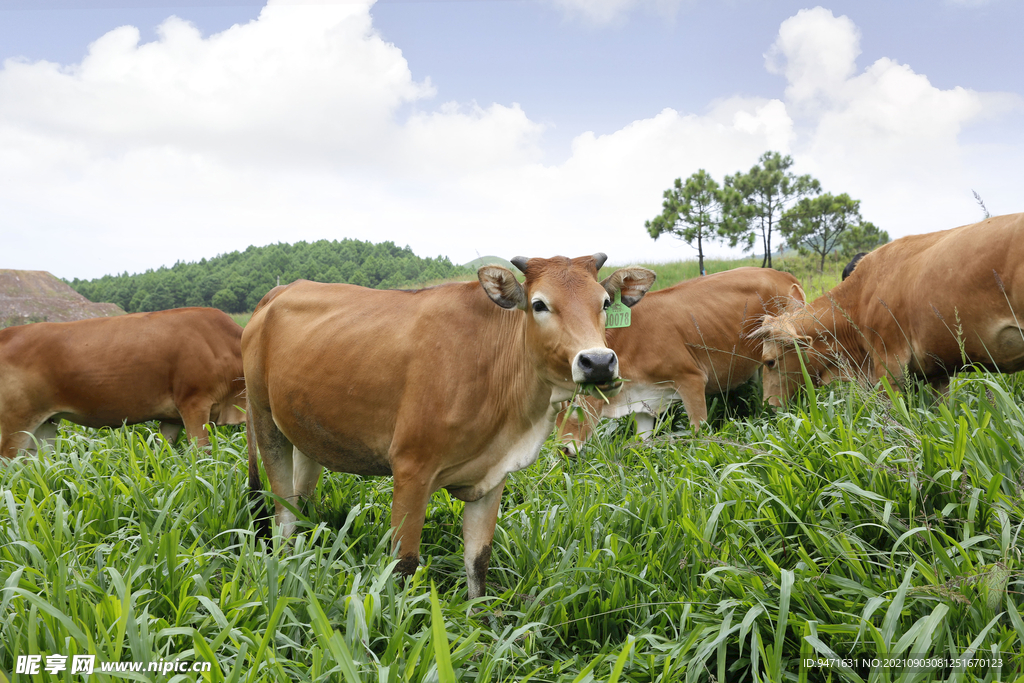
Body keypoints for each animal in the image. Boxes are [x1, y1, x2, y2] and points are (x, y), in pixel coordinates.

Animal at [0, 307, 246, 456]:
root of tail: (8, 332)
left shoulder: (173, 418)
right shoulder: (194, 403)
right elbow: (202, 452)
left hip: (45, 423)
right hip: (15, 423)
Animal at [243, 255, 651, 598]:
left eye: (604, 303)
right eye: (539, 304)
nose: (598, 363)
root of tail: (277, 292)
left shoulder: (493, 476)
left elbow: (477, 561)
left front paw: (479, 621)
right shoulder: (411, 469)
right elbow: (404, 564)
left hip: (307, 435)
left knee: (302, 503)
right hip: (265, 422)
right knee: (283, 514)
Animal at [557, 266, 802, 448]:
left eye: (574, 401)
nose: (562, 449)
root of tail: (783, 274)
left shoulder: (691, 380)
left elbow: (698, 432)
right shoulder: (642, 399)